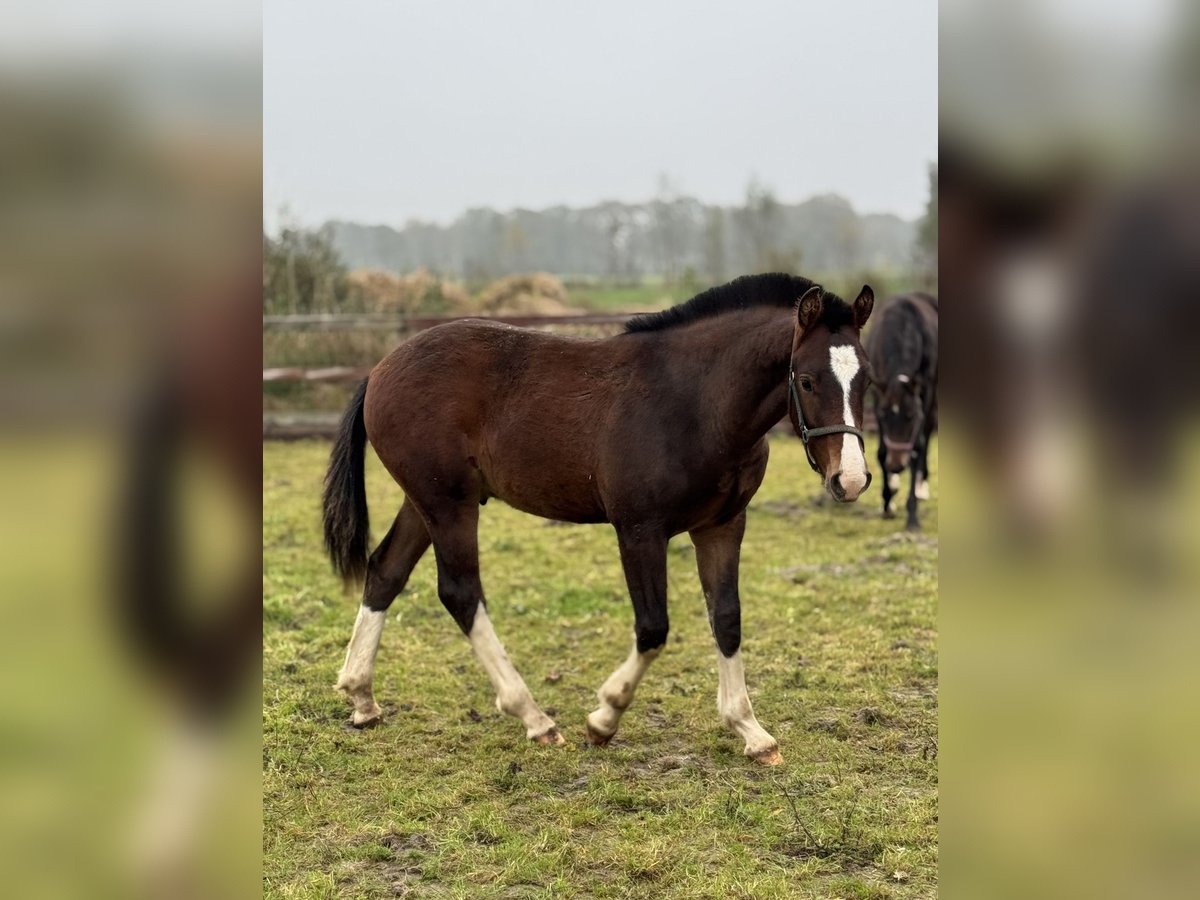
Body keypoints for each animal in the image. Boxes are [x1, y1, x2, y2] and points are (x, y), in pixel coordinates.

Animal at [324, 271, 878, 763]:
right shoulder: (639, 530)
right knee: (460, 592)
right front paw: (604, 718)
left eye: (866, 379)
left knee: (386, 571)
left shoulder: (722, 526)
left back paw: (361, 696)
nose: (849, 480)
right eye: (806, 380)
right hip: (449, 505)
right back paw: (536, 720)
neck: (695, 402)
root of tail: (379, 369)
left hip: (426, 502)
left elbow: (726, 618)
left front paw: (750, 730)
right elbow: (653, 627)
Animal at [868, 292, 940, 532]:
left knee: (927, 436)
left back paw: (921, 486)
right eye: (883, 417)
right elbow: (882, 450)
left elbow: (917, 447)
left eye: (911, 417)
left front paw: (912, 516)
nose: (897, 465)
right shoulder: (877, 395)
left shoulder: (924, 395)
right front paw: (887, 503)